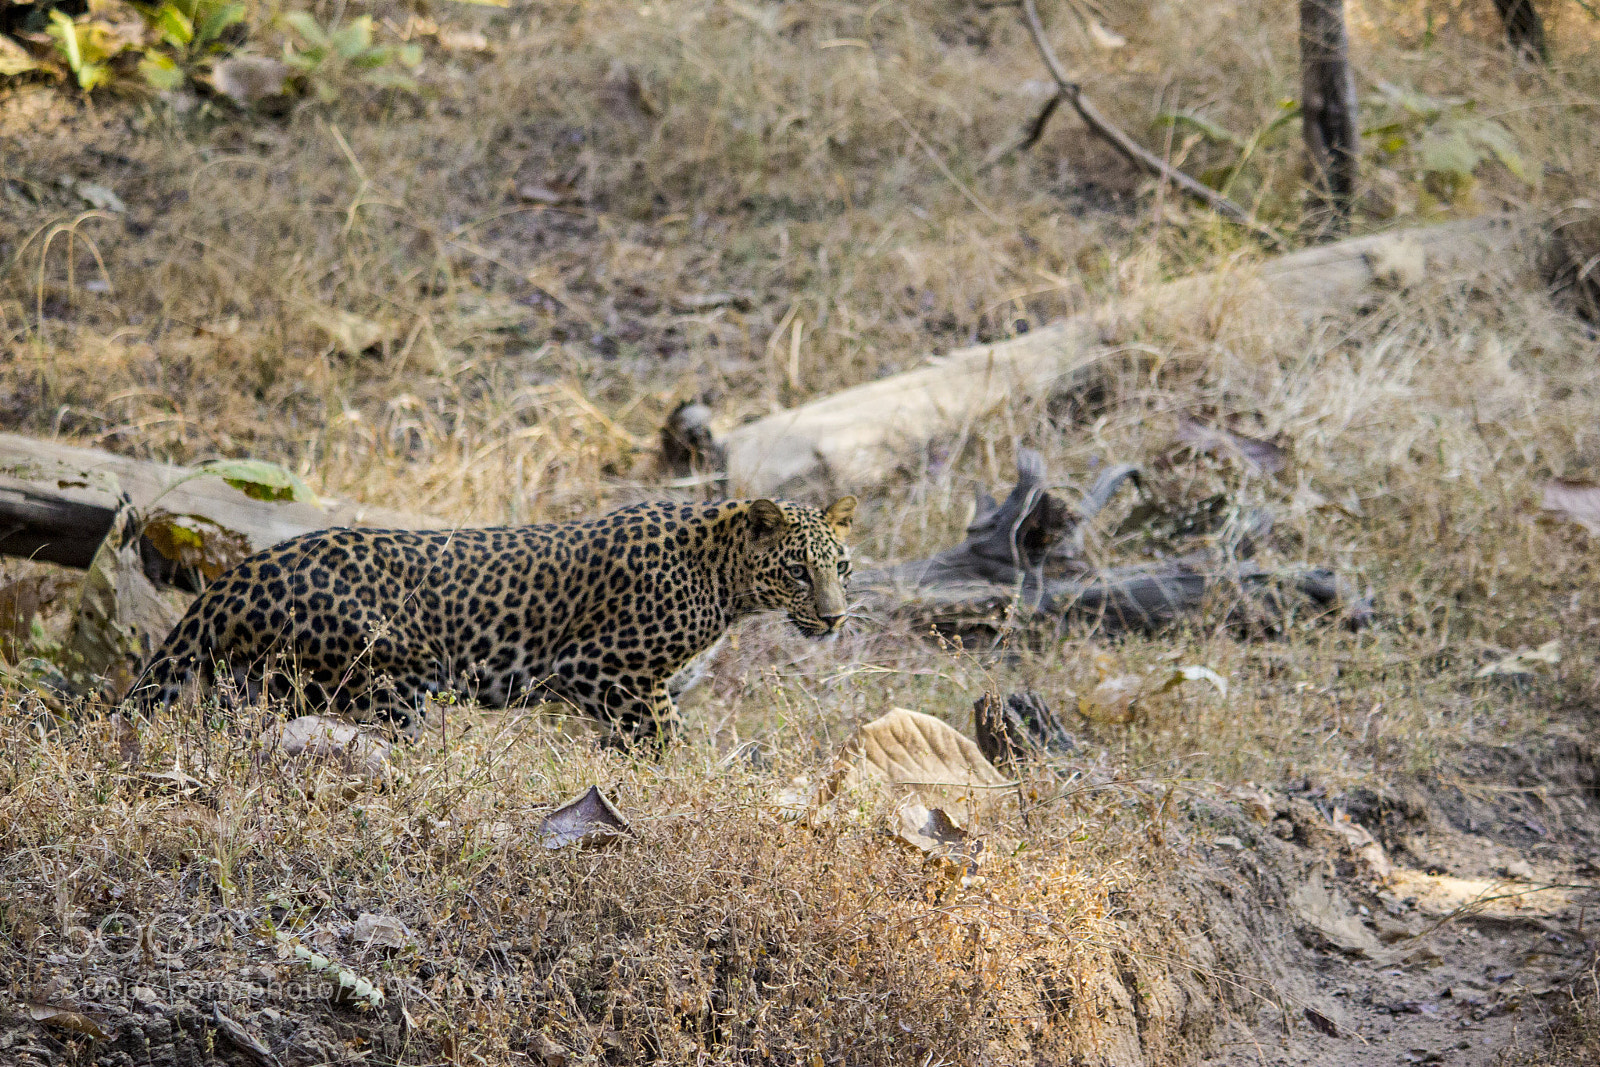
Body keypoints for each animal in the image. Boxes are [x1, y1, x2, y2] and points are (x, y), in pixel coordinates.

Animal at [129, 496, 857, 742]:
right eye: (798, 571)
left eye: (841, 567)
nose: (834, 619)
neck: (727, 581)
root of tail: (238, 576)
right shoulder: (603, 672)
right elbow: (667, 744)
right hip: (384, 680)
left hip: (259, 683)